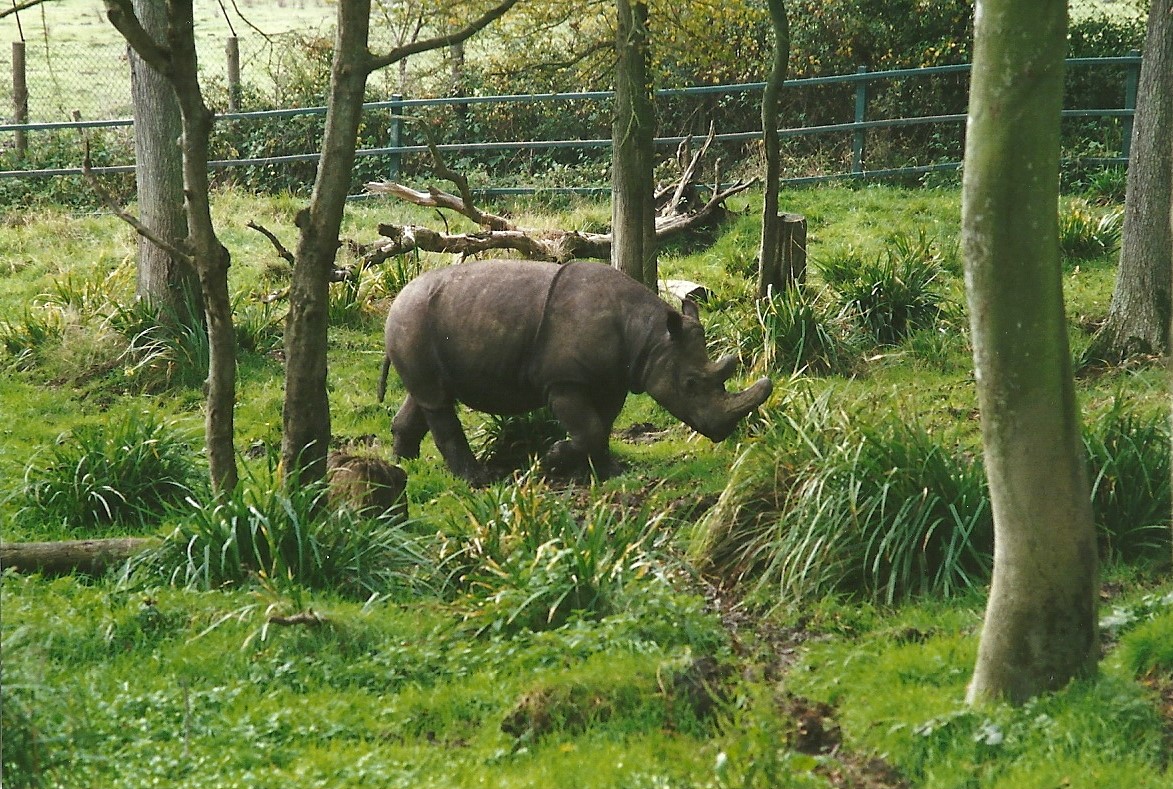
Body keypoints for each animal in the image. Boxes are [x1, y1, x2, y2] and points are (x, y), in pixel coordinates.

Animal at [377, 259, 772, 483]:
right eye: (690, 384)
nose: (722, 432)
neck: (651, 336)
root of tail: (396, 300)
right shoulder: (564, 381)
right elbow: (589, 428)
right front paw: (549, 460)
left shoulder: (613, 379)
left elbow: (602, 426)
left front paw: (608, 472)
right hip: (413, 318)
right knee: (437, 401)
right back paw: (478, 480)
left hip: (416, 321)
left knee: (428, 396)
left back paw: (404, 465)